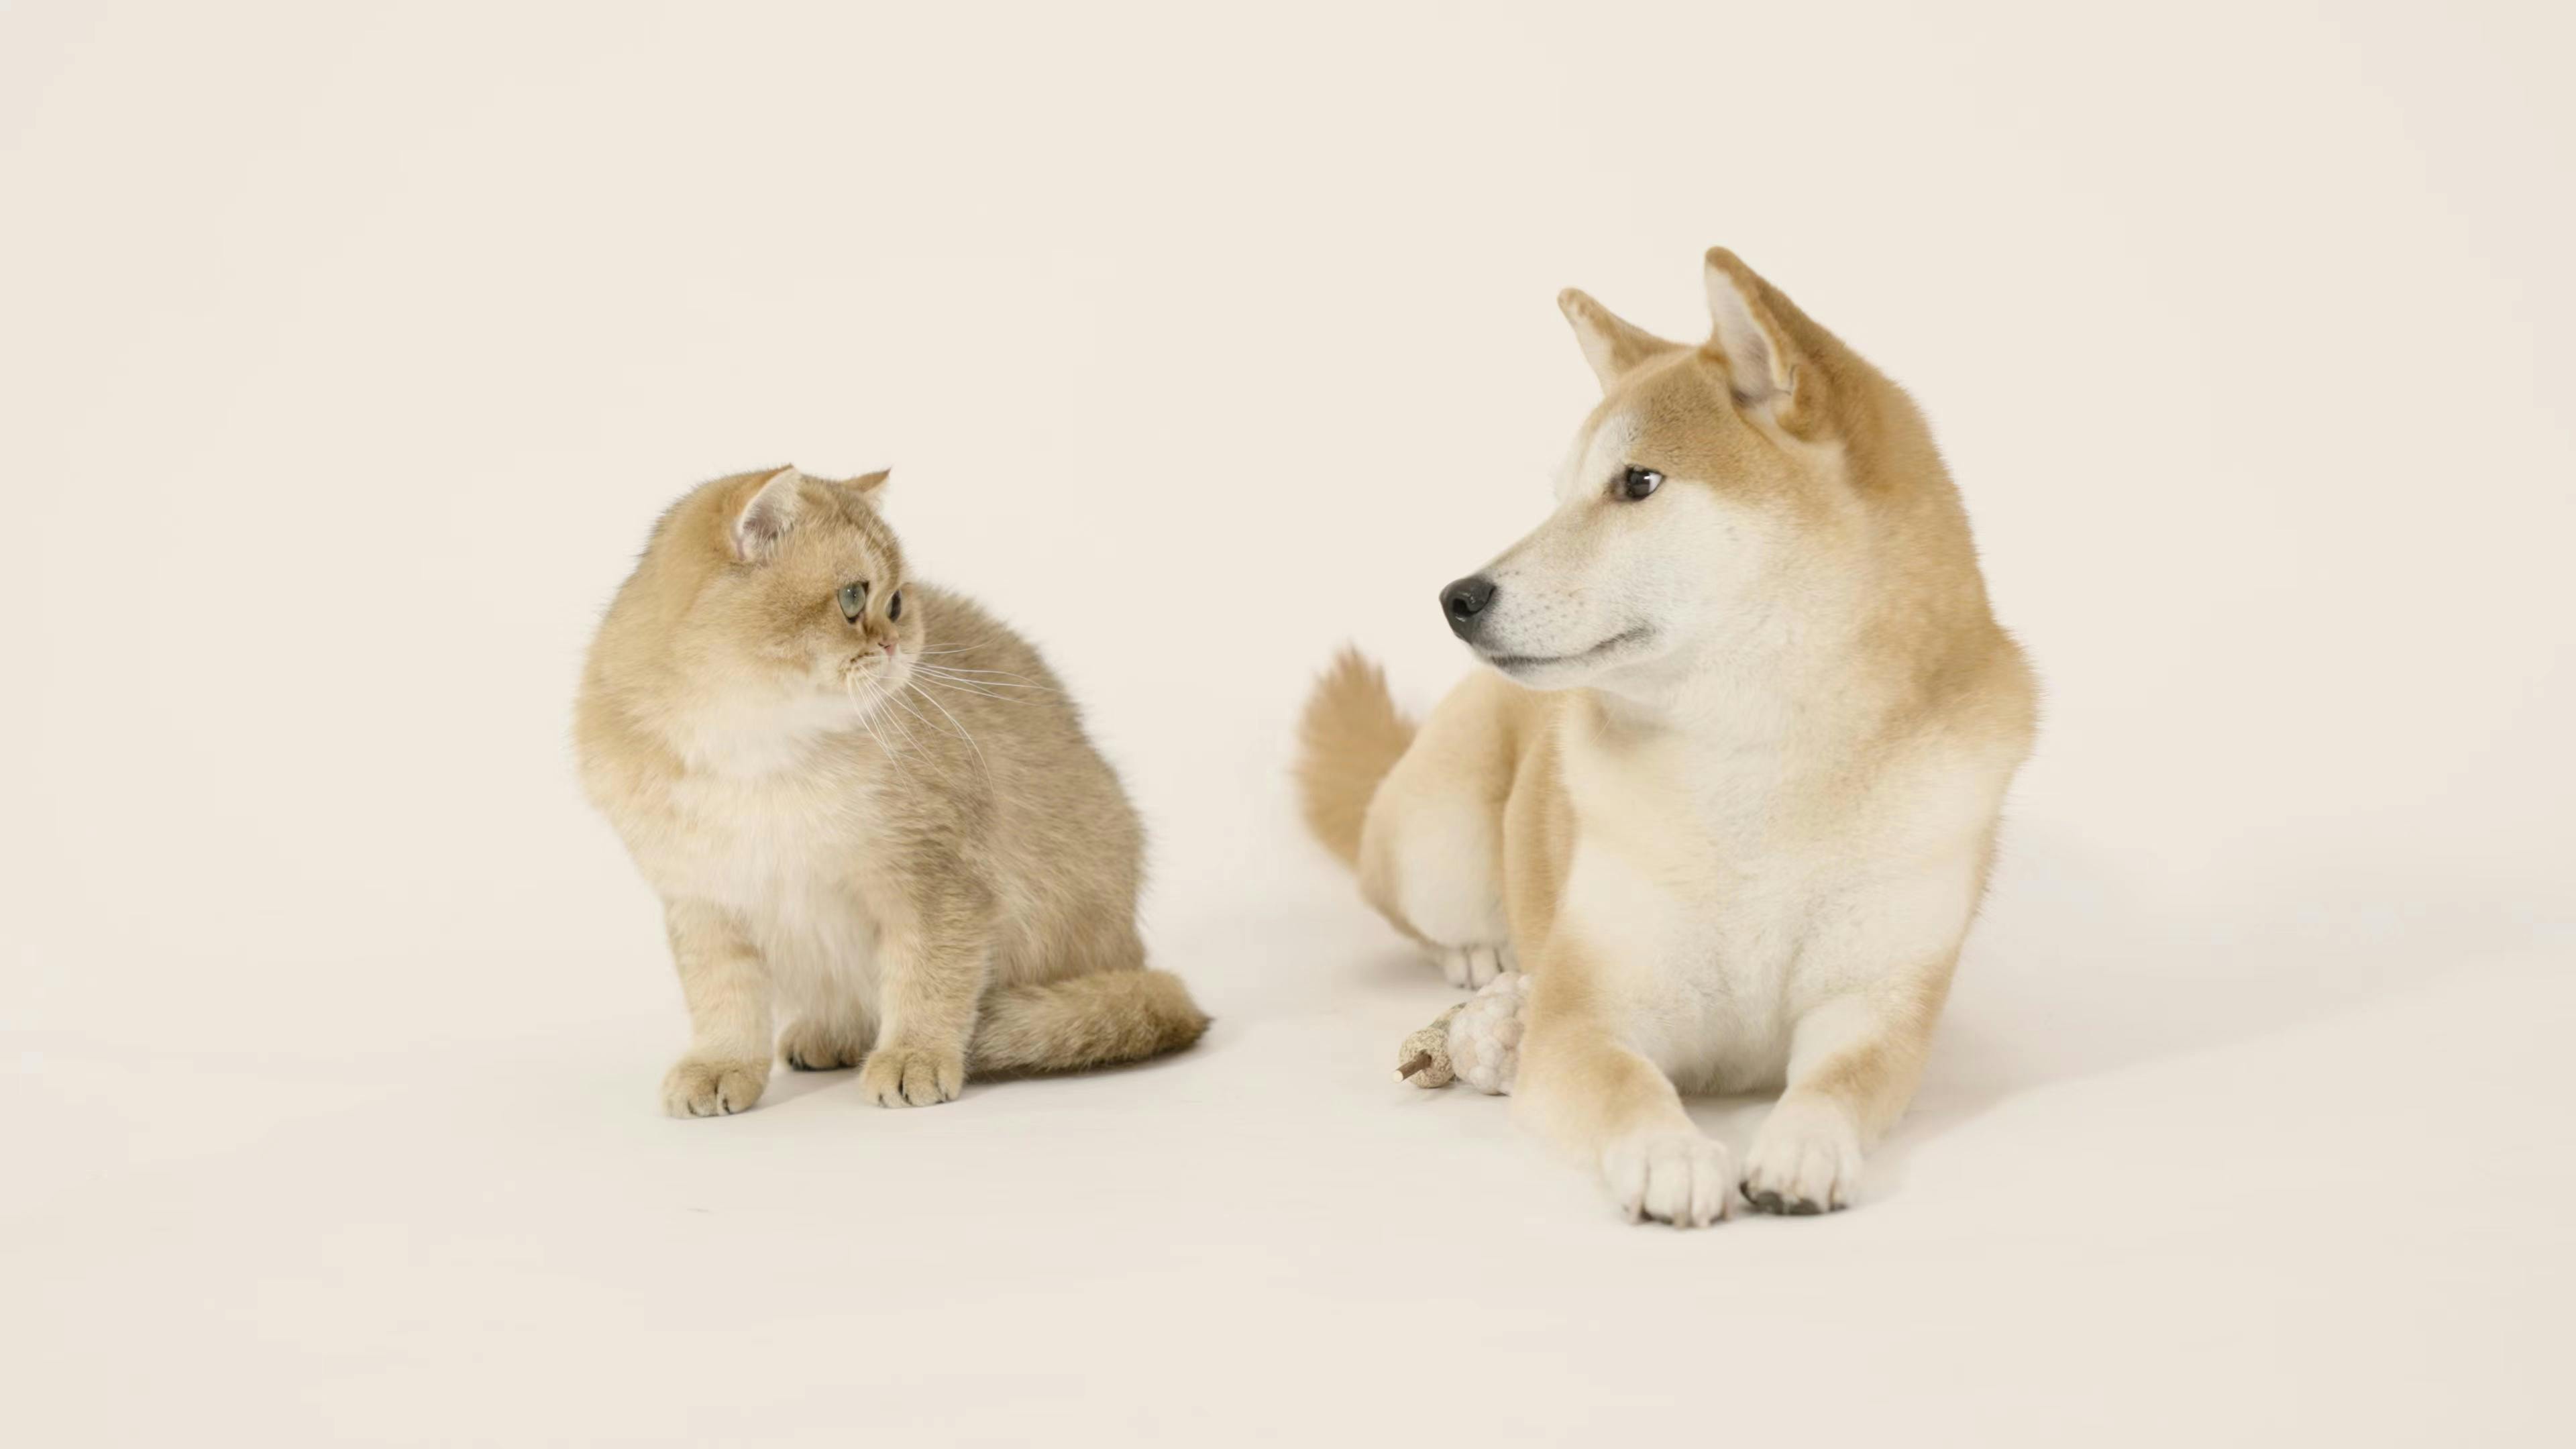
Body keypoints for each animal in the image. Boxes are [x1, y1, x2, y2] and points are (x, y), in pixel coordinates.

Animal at [574, 461, 1205, 1103]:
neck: (756, 753)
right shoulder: (704, 902)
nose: (894, 643)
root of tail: (1135, 955)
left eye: (897, 602)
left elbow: (927, 980)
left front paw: (913, 1056)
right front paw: (720, 1065)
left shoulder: (935, 883)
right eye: (854, 597)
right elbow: (723, 1000)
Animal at [1298, 247, 2040, 1217]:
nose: (1457, 597)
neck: (1762, 762)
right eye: (1561, 496)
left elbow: (1837, 1085)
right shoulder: (1592, 1010)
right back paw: (1476, 952)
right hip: (1436, 846)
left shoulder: (1876, 1003)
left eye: (1637, 483)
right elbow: (1627, 1085)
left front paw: (1802, 1149)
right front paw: (1670, 1155)